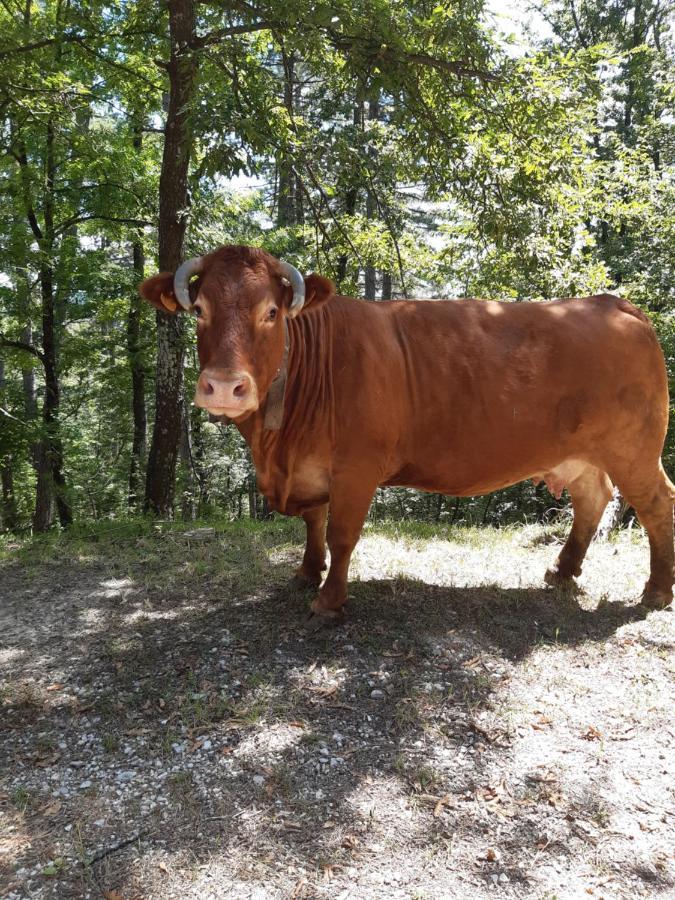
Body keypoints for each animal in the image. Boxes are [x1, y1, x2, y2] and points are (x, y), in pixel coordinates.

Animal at [140, 243, 672, 620]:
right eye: (200, 310)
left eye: (270, 312)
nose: (223, 386)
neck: (277, 448)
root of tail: (615, 304)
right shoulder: (311, 469)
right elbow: (313, 522)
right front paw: (306, 573)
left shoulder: (357, 466)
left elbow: (342, 533)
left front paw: (330, 600)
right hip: (580, 454)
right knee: (592, 497)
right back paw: (562, 572)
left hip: (634, 449)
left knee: (656, 502)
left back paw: (655, 591)